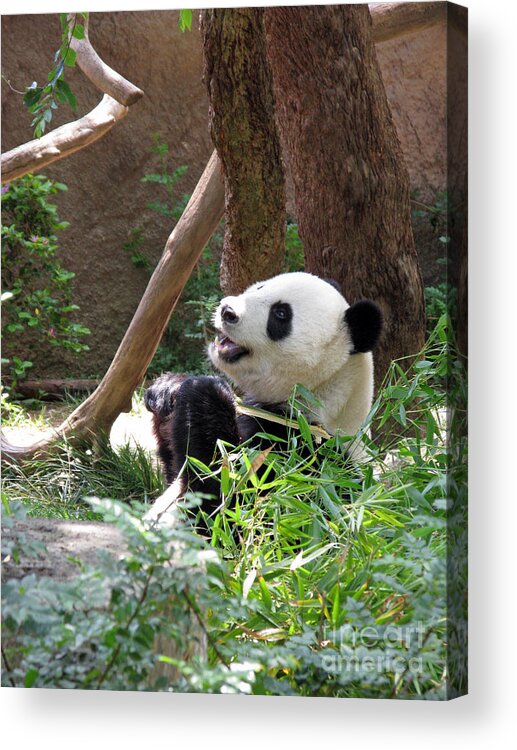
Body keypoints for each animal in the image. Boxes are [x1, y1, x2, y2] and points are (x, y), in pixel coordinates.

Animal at [143, 274, 380, 524]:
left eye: (281, 314)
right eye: (260, 287)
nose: (228, 311)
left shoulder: (307, 458)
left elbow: (229, 501)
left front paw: (204, 390)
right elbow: (175, 472)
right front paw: (167, 389)